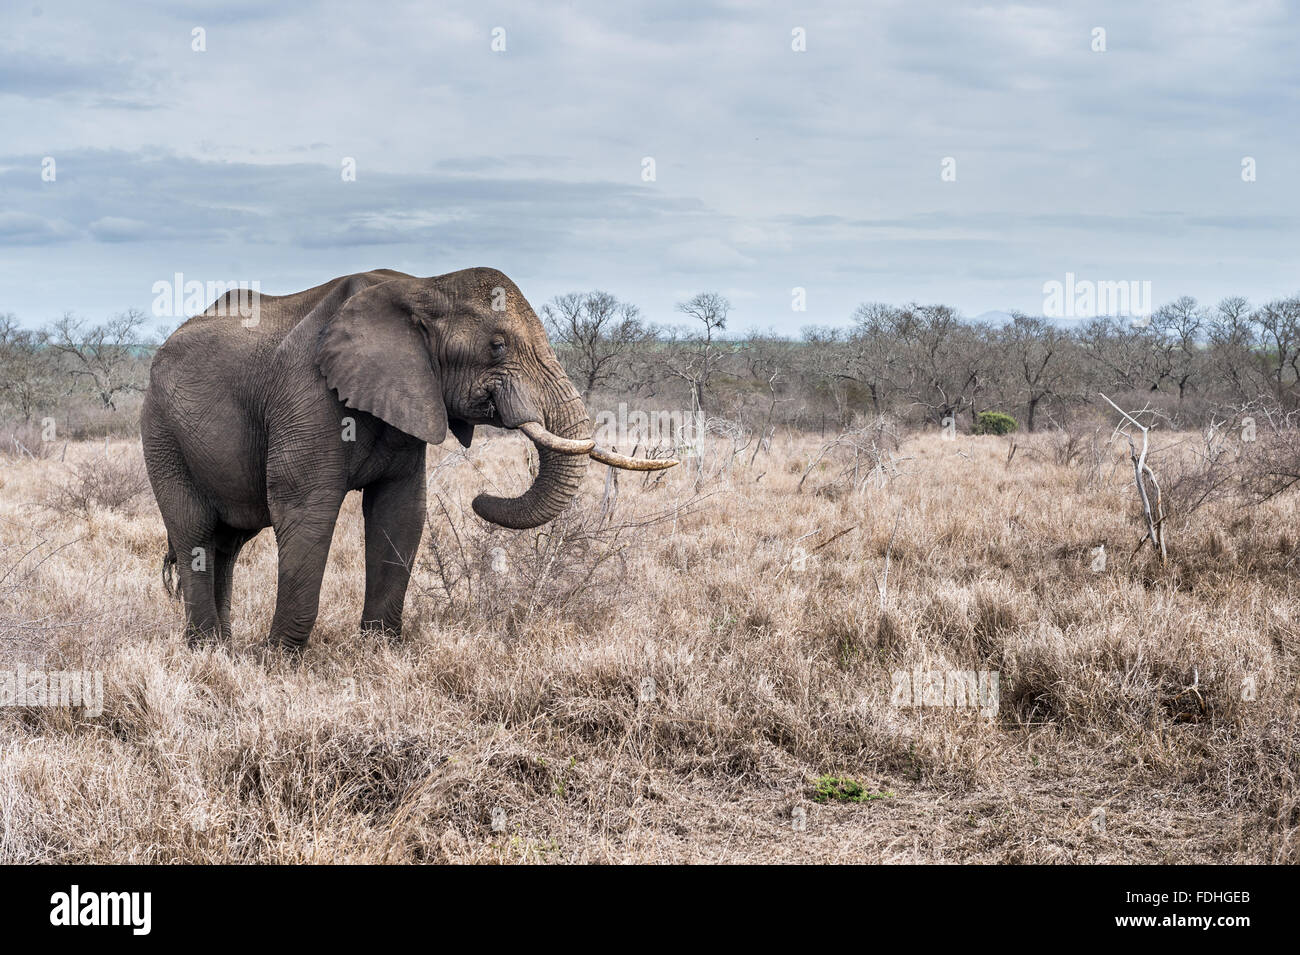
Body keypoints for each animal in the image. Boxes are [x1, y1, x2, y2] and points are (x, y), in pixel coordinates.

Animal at [141, 267, 674, 649]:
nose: (480, 498)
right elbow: (307, 509)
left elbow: (400, 510)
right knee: (195, 531)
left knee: (227, 542)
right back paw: (207, 650)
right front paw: (281, 659)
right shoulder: (307, 395)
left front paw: (380, 649)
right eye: (498, 345)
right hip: (162, 433)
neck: (424, 287)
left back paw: (223, 648)